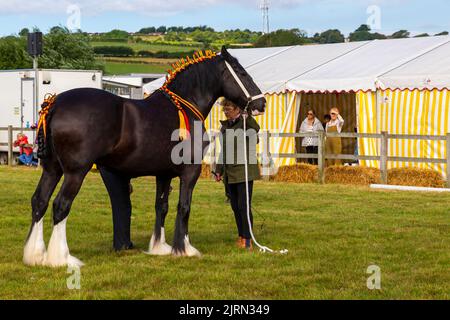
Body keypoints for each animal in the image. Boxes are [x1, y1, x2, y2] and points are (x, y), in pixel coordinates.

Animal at [23, 47, 264, 268]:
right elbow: (184, 206)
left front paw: (160, 247)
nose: (261, 104)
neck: (184, 107)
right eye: (242, 73)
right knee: (61, 205)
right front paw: (184, 249)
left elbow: (162, 207)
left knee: (39, 201)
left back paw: (34, 255)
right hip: (75, 172)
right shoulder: (190, 171)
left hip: (52, 169)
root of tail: (55, 103)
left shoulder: (164, 174)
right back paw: (60, 258)